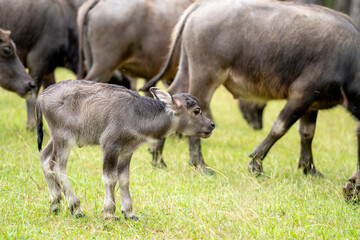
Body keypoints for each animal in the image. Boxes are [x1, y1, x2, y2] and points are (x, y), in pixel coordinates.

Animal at [35, 80, 217, 219]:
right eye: (197, 111)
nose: (211, 125)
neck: (136, 115)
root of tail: (42, 96)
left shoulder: (127, 151)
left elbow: (123, 179)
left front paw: (129, 213)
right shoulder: (109, 145)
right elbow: (109, 178)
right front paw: (109, 213)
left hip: (55, 137)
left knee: (44, 157)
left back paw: (55, 203)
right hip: (64, 137)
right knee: (57, 166)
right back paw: (76, 207)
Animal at [143, 0, 360, 199]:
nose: (350, 189)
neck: (349, 58)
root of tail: (201, 6)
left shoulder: (312, 104)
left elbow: (307, 133)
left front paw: (310, 169)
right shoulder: (303, 92)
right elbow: (279, 127)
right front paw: (256, 164)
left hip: (187, 69)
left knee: (173, 97)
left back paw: (157, 157)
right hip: (205, 75)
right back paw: (200, 164)